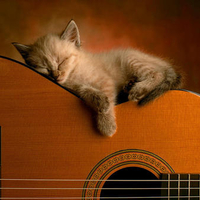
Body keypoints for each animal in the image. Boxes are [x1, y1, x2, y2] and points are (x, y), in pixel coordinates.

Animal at [12, 19, 181, 137]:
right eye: (45, 68)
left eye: (62, 62)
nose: (55, 76)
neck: (73, 75)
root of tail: (163, 62)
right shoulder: (73, 88)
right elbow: (86, 90)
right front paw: (100, 103)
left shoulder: (105, 81)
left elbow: (108, 100)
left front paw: (107, 126)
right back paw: (129, 85)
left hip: (130, 59)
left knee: (158, 73)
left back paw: (138, 89)